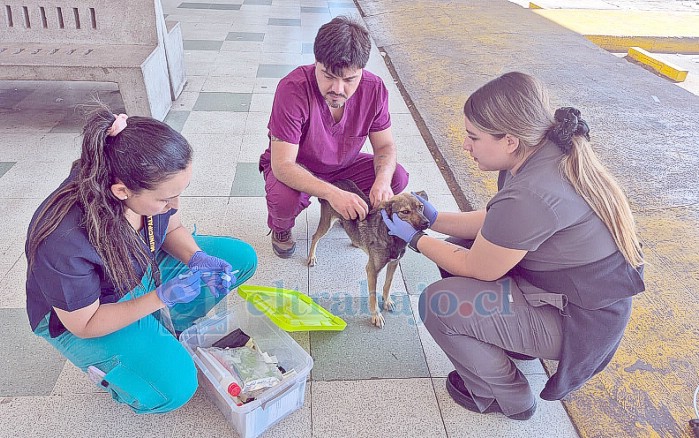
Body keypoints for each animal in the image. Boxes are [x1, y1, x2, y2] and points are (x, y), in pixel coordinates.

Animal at [308, 180, 430, 326]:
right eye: (405, 212)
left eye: (421, 207)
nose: (427, 223)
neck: (392, 236)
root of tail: (334, 182)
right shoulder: (372, 269)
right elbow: (373, 295)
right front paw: (376, 315)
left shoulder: (394, 263)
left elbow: (388, 284)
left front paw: (387, 301)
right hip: (327, 222)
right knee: (315, 237)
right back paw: (311, 257)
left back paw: (356, 242)